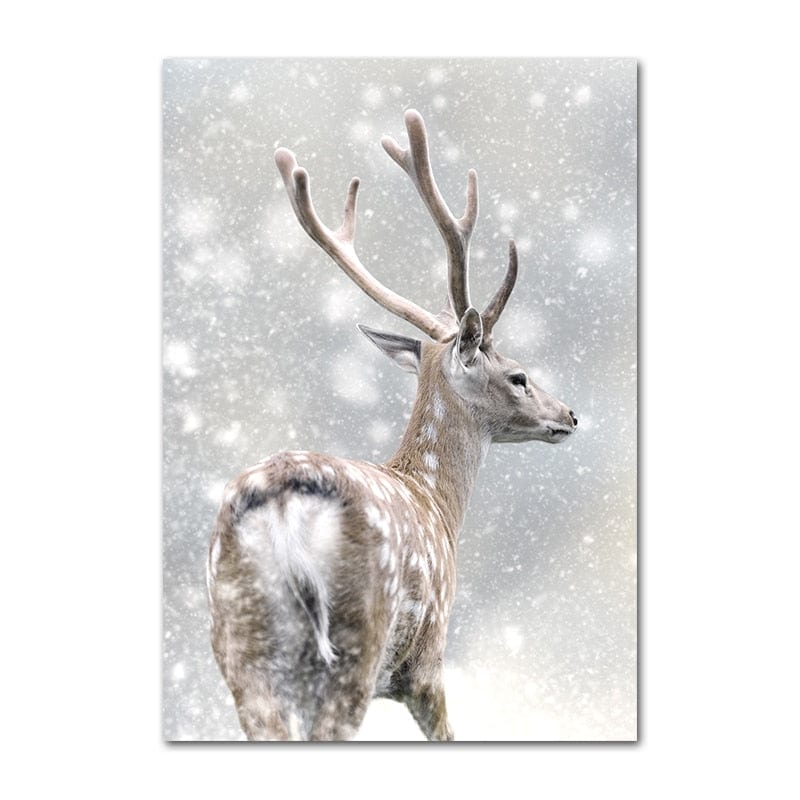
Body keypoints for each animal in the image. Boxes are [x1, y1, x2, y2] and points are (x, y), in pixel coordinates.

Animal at [207, 109, 577, 741]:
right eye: (519, 377)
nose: (569, 415)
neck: (436, 501)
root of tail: (281, 501)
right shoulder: (426, 661)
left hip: (239, 646)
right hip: (358, 637)